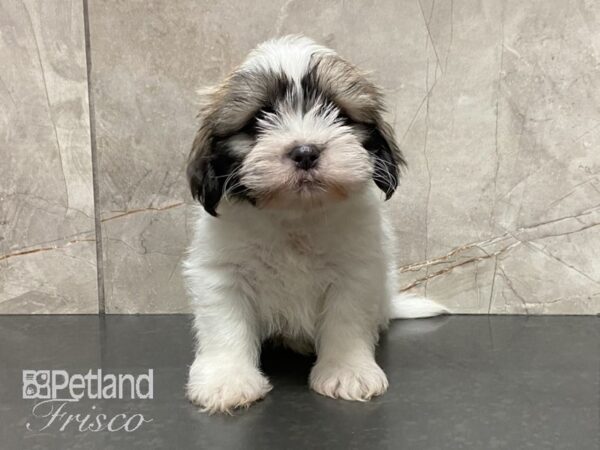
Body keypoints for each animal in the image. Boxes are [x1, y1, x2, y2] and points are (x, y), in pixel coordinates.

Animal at [183, 36, 446, 414]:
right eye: (260, 117)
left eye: (336, 112)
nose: (305, 151)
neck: (296, 216)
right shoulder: (222, 272)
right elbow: (225, 324)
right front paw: (227, 380)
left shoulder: (356, 271)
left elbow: (346, 321)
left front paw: (347, 371)